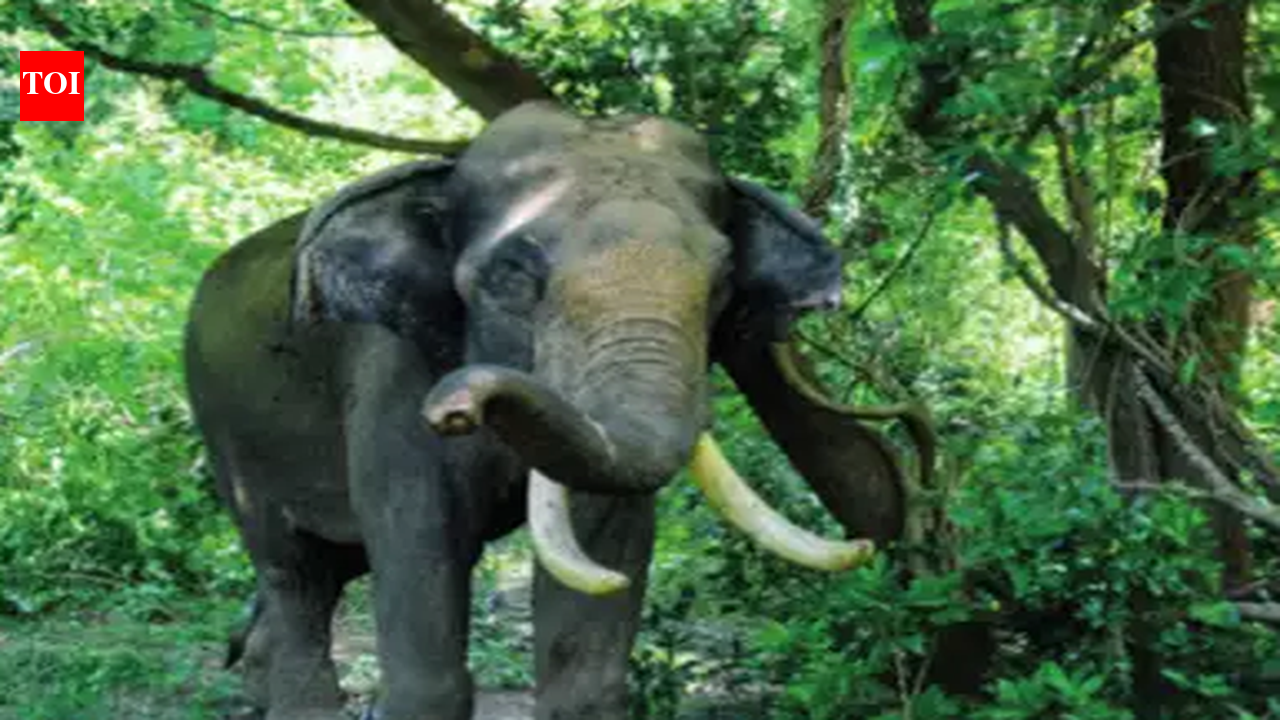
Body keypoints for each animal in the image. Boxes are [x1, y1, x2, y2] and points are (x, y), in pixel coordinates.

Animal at [184, 101, 923, 720]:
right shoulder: (391, 375)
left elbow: (600, 569)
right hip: (223, 426)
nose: (455, 404)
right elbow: (419, 538)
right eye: (512, 275)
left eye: (720, 283)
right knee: (293, 571)